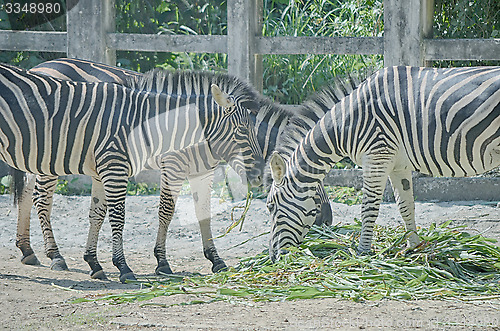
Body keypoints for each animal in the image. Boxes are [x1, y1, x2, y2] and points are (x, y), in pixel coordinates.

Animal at [0, 63, 264, 282]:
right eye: (242, 130)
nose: (260, 176)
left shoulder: (105, 170)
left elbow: (97, 214)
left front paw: (94, 263)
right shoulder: (125, 166)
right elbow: (131, 214)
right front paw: (132, 266)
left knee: (28, 194)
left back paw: (28, 251)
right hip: (49, 158)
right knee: (42, 199)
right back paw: (55, 256)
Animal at [268, 65, 500, 262]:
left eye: (270, 206)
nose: (273, 258)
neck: (346, 124)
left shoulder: (377, 156)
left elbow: (368, 208)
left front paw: (362, 253)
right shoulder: (398, 165)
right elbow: (406, 206)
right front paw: (413, 248)